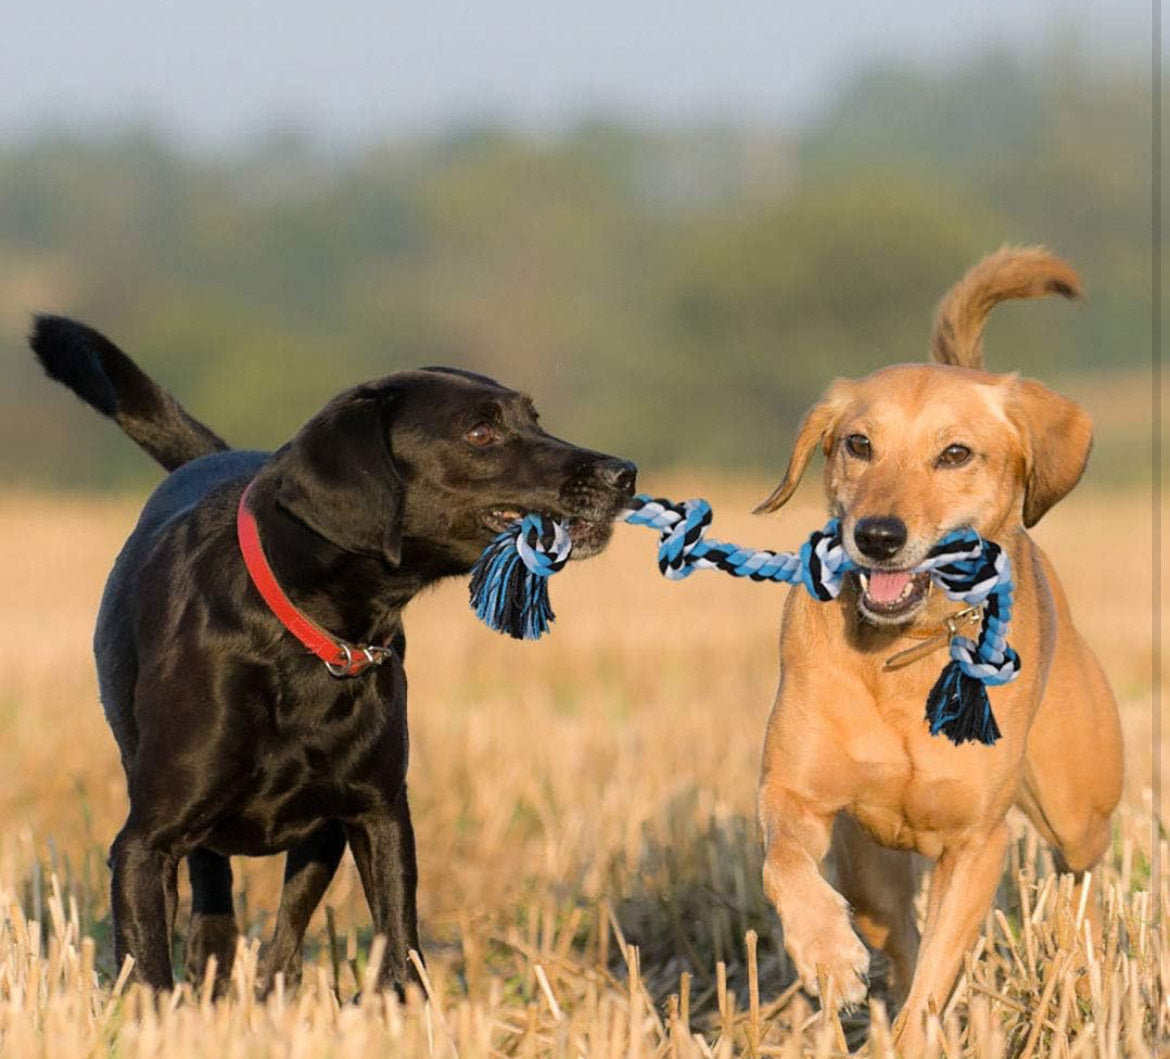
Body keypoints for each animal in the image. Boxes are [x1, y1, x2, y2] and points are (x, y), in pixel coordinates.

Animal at [32, 318, 636, 996]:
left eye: (534, 418)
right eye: (480, 432)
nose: (624, 473)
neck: (312, 636)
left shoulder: (379, 816)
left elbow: (401, 950)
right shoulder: (144, 845)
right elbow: (150, 973)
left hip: (321, 837)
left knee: (284, 934)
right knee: (216, 906)